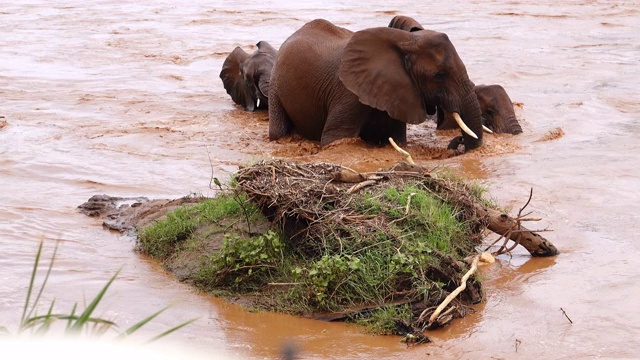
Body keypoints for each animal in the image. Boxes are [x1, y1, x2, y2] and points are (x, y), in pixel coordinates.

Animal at [268, 18, 482, 150]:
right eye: (440, 75)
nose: (459, 141)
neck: (407, 40)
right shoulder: (348, 94)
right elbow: (335, 138)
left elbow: (396, 139)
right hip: (275, 84)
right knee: (277, 130)